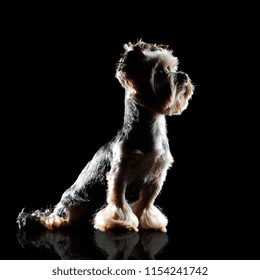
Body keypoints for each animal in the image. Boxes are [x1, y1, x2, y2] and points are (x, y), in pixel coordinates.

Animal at [17, 39, 194, 232]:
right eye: (160, 73)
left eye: (173, 68)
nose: (183, 76)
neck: (152, 125)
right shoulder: (120, 172)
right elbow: (118, 199)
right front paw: (120, 223)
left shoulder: (157, 175)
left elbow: (147, 201)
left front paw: (148, 221)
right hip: (74, 204)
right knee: (54, 218)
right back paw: (57, 221)